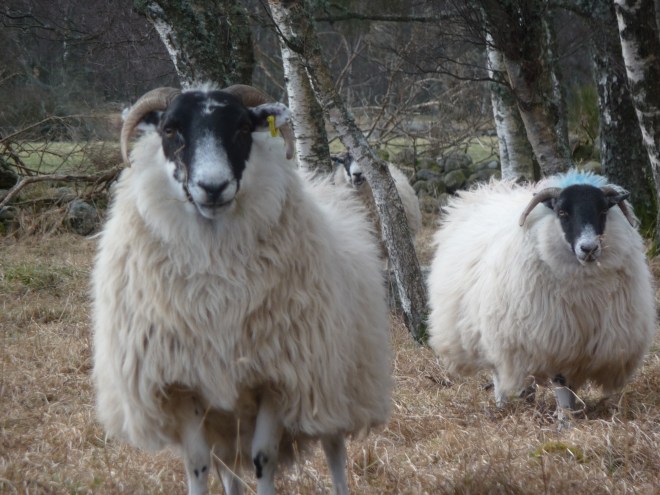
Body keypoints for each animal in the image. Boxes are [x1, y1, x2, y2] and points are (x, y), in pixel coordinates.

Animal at [91, 84, 391, 495]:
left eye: (243, 129)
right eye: (169, 129)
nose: (213, 187)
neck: (215, 273)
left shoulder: (279, 377)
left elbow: (263, 458)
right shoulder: (182, 385)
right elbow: (198, 464)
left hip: (335, 383)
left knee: (334, 451)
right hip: (226, 419)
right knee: (227, 467)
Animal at [426, 170, 656, 413]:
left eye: (603, 211)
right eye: (562, 212)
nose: (589, 248)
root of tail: (488, 190)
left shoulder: (579, 345)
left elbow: (569, 385)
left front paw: (570, 411)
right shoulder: (554, 340)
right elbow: (561, 383)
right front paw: (565, 418)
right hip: (495, 332)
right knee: (499, 372)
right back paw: (502, 404)